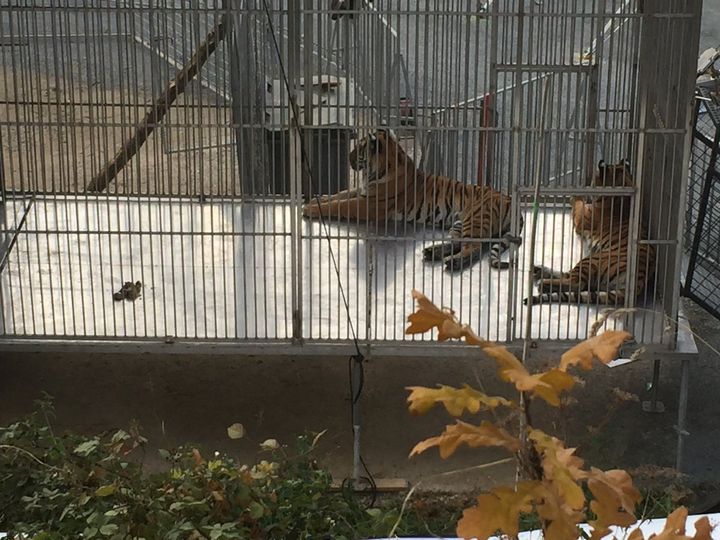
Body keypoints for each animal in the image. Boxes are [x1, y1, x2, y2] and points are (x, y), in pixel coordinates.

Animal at [300, 129, 524, 272]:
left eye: (360, 148)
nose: (349, 157)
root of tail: (509, 199)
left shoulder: (370, 205)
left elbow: (340, 205)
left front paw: (309, 208)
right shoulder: (363, 193)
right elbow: (341, 194)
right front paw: (318, 199)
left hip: (475, 219)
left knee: (474, 248)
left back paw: (454, 263)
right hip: (460, 222)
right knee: (458, 242)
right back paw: (434, 252)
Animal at [524, 159, 656, 304]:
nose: (588, 185)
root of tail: (639, 279)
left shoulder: (582, 218)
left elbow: (579, 205)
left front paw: (576, 196)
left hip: (592, 259)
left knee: (576, 282)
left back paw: (543, 283)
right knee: (569, 276)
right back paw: (539, 270)